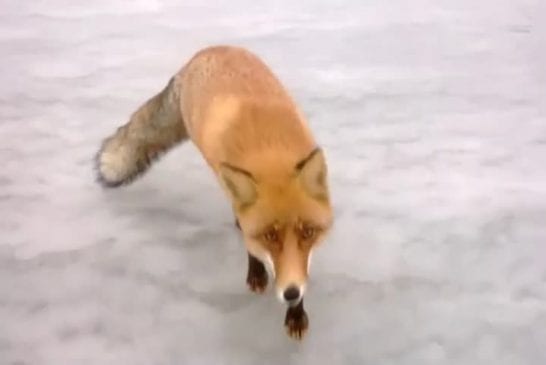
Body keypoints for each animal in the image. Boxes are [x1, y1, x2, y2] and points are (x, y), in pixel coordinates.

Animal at [94, 45, 332, 338]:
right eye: (268, 236)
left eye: (308, 232)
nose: (290, 293)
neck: (269, 152)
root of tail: (203, 52)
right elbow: (252, 244)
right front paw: (257, 275)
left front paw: (296, 314)